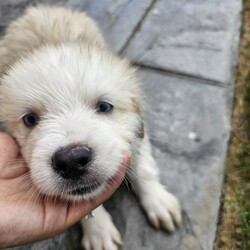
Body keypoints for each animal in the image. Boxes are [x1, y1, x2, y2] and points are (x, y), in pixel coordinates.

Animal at [0, 5, 181, 250]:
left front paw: (159, 201)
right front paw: (99, 231)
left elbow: (144, 169)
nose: (71, 161)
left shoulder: (138, 133)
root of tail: (42, 7)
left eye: (104, 106)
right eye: (30, 119)